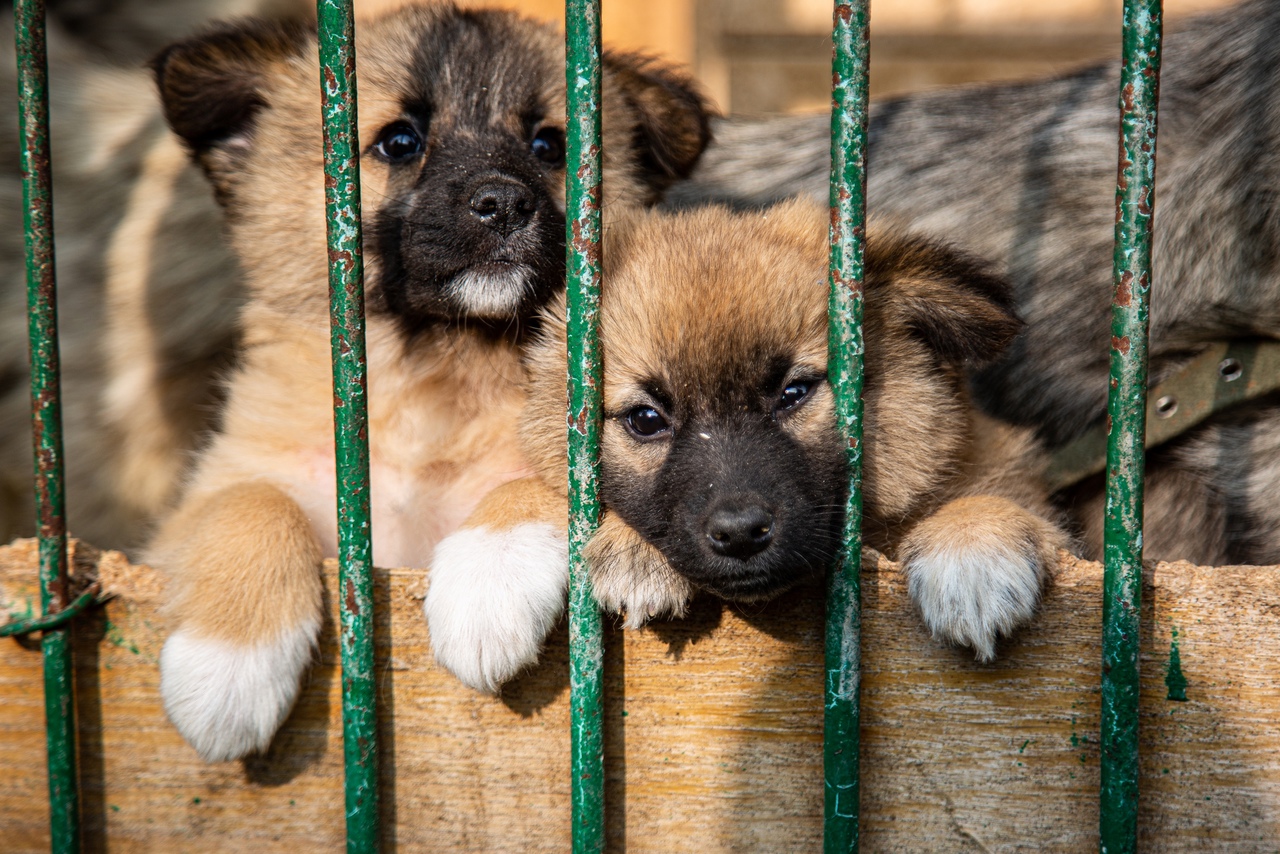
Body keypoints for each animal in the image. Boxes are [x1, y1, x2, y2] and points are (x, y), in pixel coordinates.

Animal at [147, 0, 711, 763]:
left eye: (549, 145)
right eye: (398, 141)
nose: (503, 203)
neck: (431, 381)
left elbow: (537, 476)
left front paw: (489, 581)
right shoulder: (216, 491)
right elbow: (247, 503)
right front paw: (228, 666)